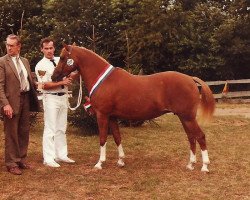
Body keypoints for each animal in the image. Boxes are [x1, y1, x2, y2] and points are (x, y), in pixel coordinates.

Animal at [51, 43, 215, 172]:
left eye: (63, 58)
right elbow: (117, 137)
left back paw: (204, 166)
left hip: (187, 117)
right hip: (184, 118)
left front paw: (99, 163)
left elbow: (103, 138)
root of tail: (190, 79)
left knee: (200, 136)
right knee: (191, 138)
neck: (103, 80)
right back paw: (190, 165)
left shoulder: (102, 115)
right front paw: (121, 161)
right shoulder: (112, 117)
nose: (54, 76)